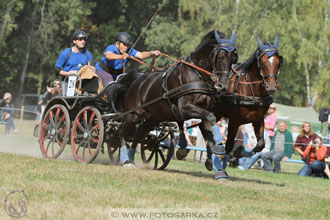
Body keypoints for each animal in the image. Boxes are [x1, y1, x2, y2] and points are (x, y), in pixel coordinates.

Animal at [119, 30, 240, 167]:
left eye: (233, 59)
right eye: (220, 56)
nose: (222, 85)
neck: (197, 74)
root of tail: (135, 81)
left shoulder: (202, 110)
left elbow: (208, 129)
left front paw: (212, 157)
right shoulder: (185, 108)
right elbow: (210, 118)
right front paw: (218, 148)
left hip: (154, 117)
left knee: (139, 132)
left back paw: (131, 158)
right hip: (132, 115)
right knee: (122, 132)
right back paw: (125, 160)